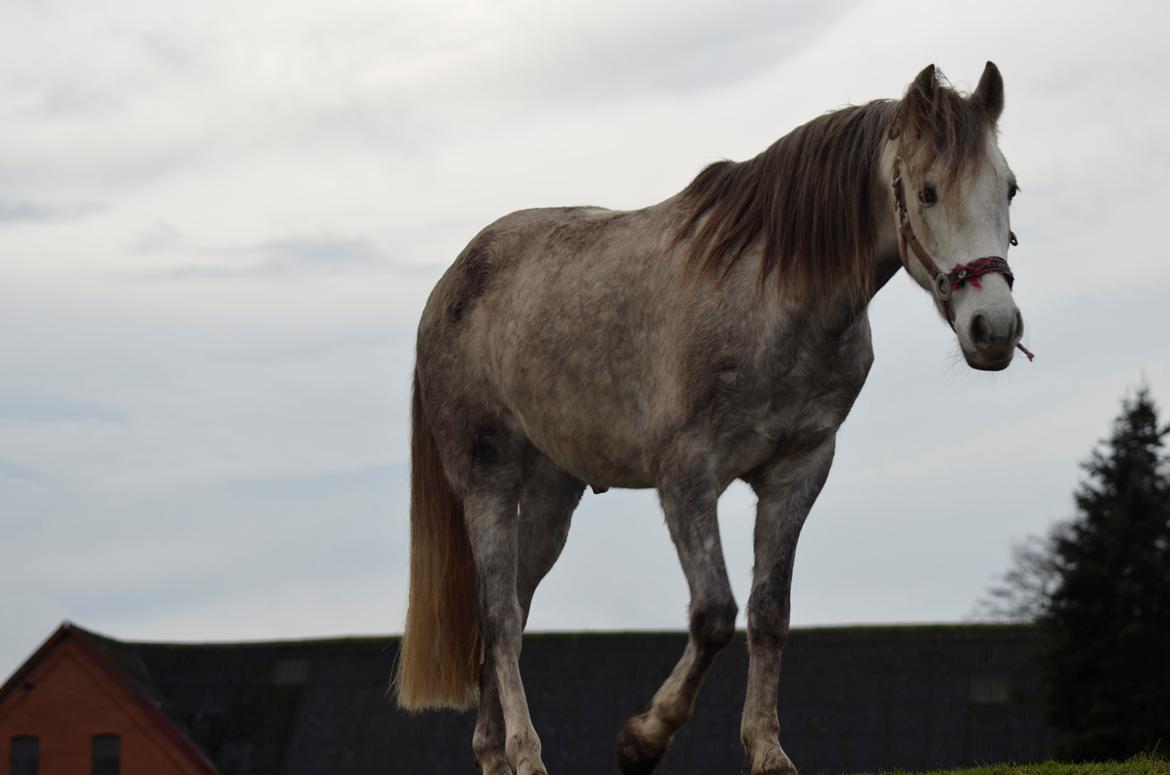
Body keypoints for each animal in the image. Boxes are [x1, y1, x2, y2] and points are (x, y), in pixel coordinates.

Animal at [393, 62, 1024, 775]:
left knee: (514, 609)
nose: (995, 329)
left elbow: (769, 613)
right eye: (927, 192)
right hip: (488, 481)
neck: (771, 294)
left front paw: (768, 751)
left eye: (1009, 188)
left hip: (553, 496)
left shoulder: (799, 470)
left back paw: (494, 753)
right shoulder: (687, 476)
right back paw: (526, 756)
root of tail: (451, 283)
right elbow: (716, 613)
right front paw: (643, 739)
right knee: (499, 615)